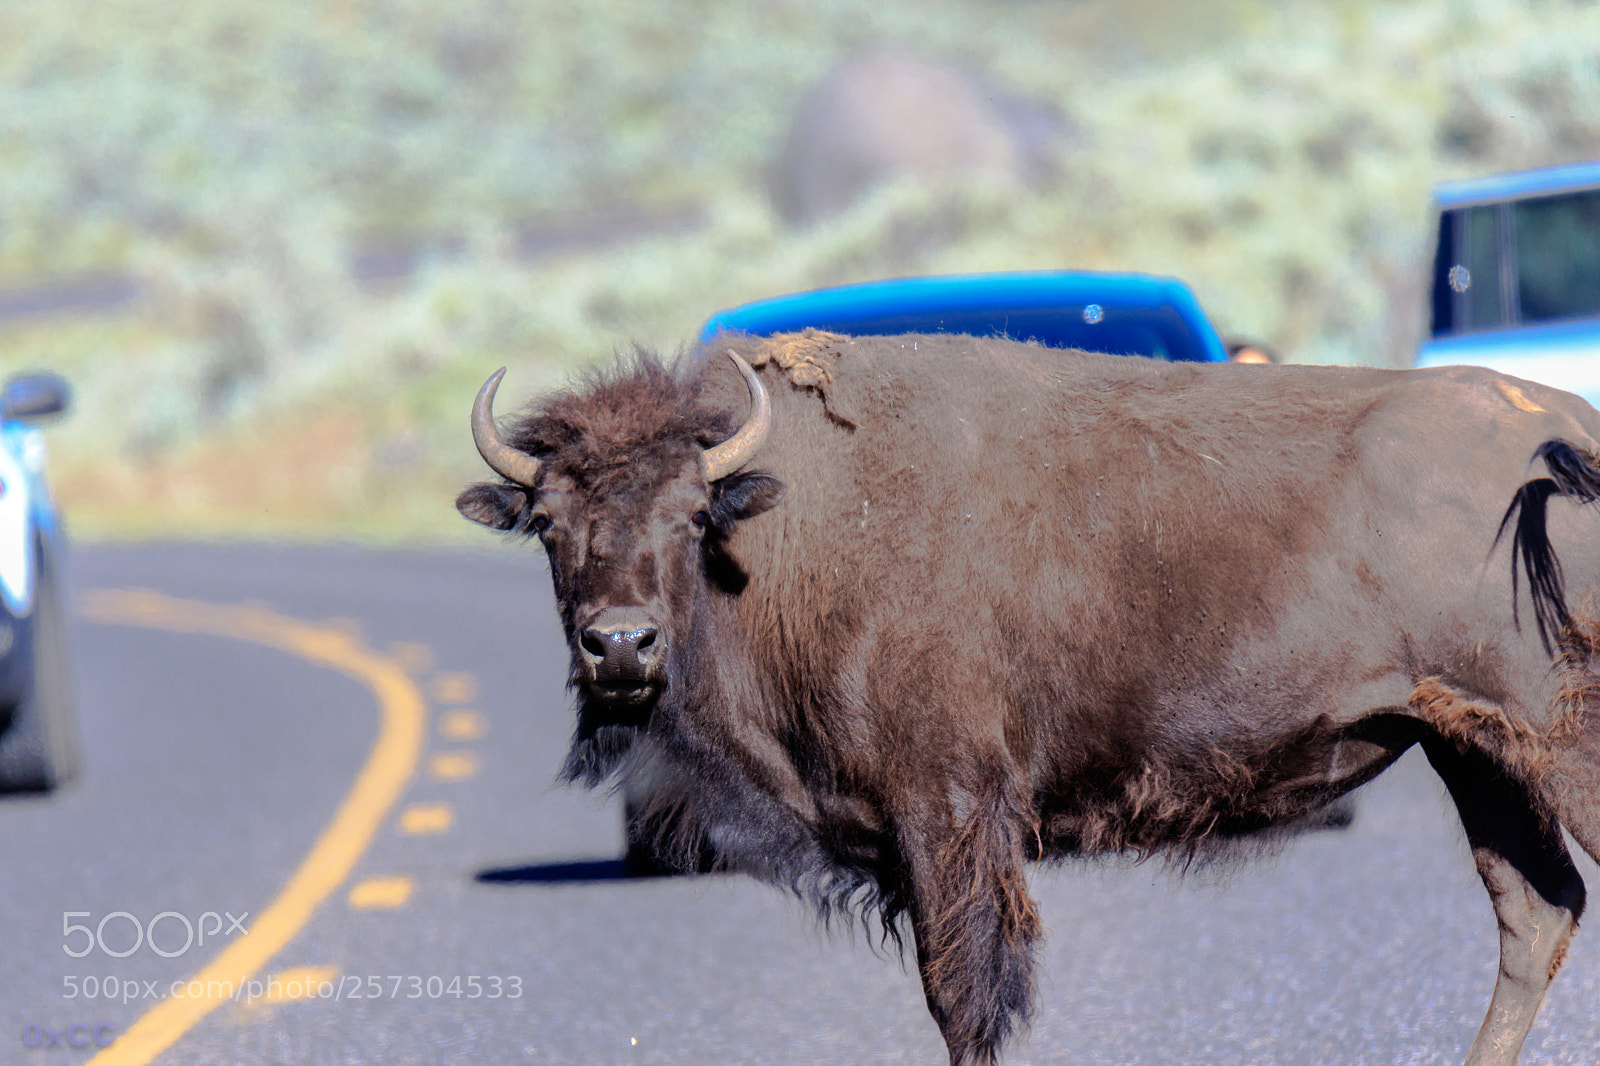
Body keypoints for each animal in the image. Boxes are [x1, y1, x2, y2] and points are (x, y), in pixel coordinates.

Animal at [457, 330, 1600, 1066]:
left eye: (692, 513)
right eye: (547, 521)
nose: (620, 645)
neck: (783, 534)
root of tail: (1569, 427)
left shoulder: (949, 816)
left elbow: (964, 998)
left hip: (1551, 745)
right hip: (1474, 750)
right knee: (1535, 910)